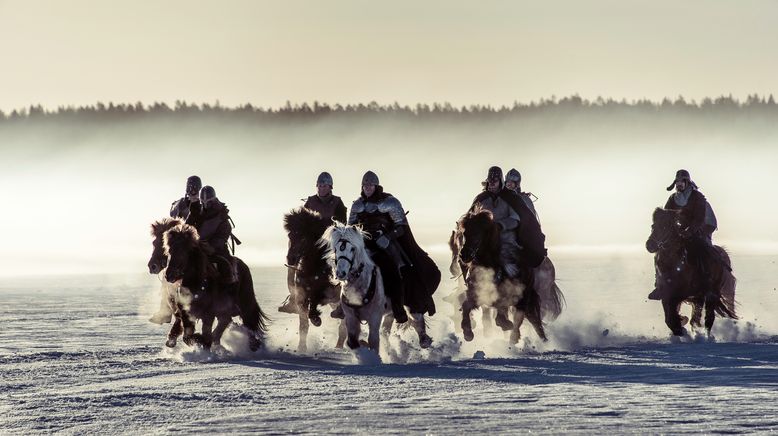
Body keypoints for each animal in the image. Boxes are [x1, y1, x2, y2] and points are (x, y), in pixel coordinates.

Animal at [282, 208, 342, 350]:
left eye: (303, 238)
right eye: (290, 236)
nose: (290, 259)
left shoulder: (324, 294)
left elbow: (313, 308)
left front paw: (316, 319)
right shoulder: (301, 298)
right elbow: (303, 325)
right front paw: (301, 348)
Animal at [320, 223, 434, 352]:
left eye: (352, 249)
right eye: (336, 249)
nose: (341, 273)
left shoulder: (375, 317)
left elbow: (373, 341)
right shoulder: (350, 316)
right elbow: (351, 340)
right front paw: (360, 345)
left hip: (409, 303)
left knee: (416, 319)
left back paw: (424, 341)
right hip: (389, 313)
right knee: (385, 330)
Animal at [644, 208, 736, 338]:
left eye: (665, 227)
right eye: (653, 226)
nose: (650, 245)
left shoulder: (683, 294)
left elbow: (676, 318)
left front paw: (681, 326)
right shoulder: (666, 295)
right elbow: (670, 318)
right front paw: (680, 326)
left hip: (711, 294)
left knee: (708, 319)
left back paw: (706, 337)